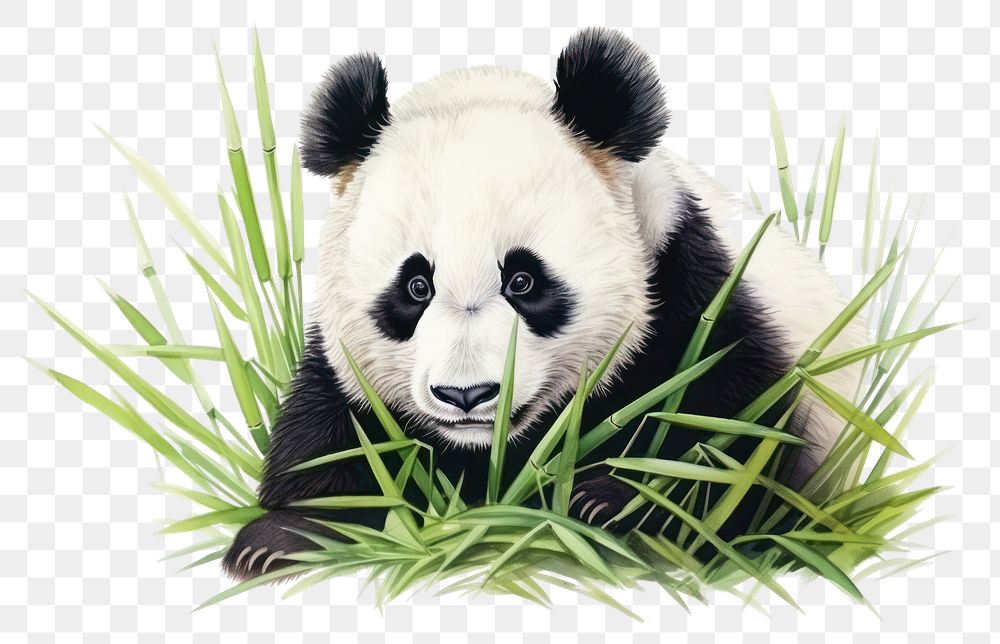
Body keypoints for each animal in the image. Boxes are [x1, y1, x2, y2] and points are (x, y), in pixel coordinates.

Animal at [222, 27, 866, 581]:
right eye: (416, 287)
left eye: (524, 281)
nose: (466, 394)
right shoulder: (343, 371)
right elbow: (329, 438)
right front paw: (278, 539)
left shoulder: (696, 298)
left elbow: (737, 448)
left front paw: (608, 502)